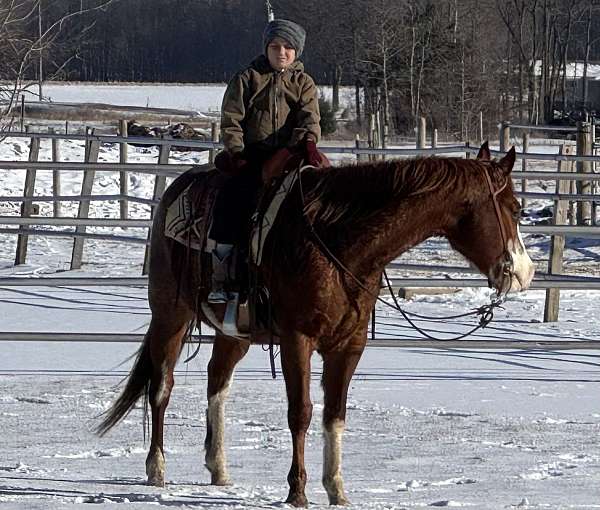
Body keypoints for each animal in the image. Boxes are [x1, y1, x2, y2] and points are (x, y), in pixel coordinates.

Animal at [97, 142, 536, 506]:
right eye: (515, 208)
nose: (525, 273)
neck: (339, 240)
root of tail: (177, 188)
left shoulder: (349, 346)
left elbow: (335, 414)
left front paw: (337, 489)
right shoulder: (298, 340)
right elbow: (302, 412)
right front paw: (298, 491)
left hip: (234, 332)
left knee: (217, 381)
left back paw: (219, 468)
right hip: (170, 314)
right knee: (161, 386)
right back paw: (156, 468)